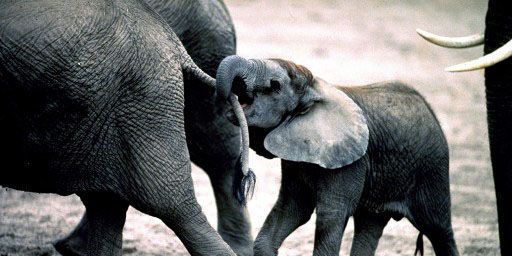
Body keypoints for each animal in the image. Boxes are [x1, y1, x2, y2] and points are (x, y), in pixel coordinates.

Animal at [216, 56, 460, 256]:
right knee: (370, 224)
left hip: (432, 168)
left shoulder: (350, 162)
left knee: (439, 228)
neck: (315, 87)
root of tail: (430, 111)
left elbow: (330, 215)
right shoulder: (296, 160)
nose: (228, 97)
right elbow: (292, 207)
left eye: (275, 86)